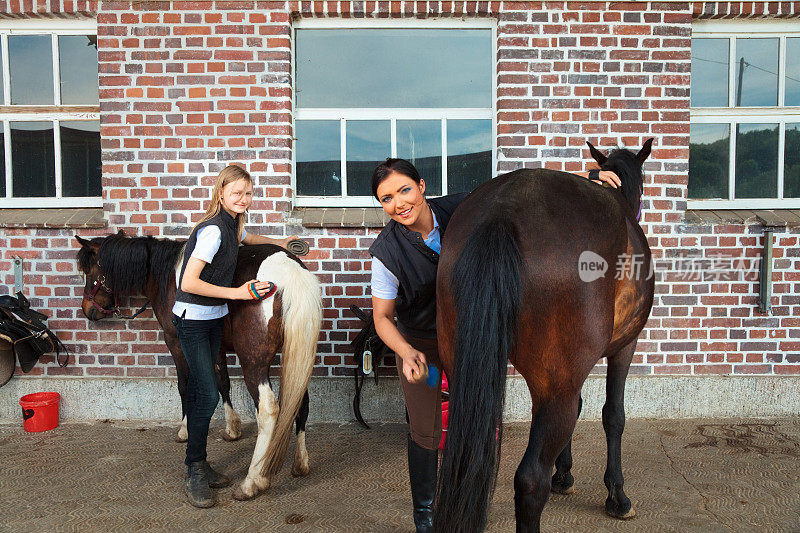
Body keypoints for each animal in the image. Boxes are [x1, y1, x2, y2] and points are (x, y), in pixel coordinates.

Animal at [76, 233, 322, 498]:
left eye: (89, 271)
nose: (87, 310)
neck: (167, 275)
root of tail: (290, 273)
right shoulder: (215, 344)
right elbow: (222, 382)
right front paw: (232, 429)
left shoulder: (176, 341)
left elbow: (186, 387)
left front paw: (185, 430)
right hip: (297, 355)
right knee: (299, 400)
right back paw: (300, 463)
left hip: (254, 363)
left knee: (268, 410)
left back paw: (252, 480)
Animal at [434, 139, 652, 528]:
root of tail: (502, 211)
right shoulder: (624, 347)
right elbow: (613, 415)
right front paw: (617, 495)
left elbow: (583, 408)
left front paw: (564, 474)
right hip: (555, 387)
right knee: (530, 479)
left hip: (461, 373)